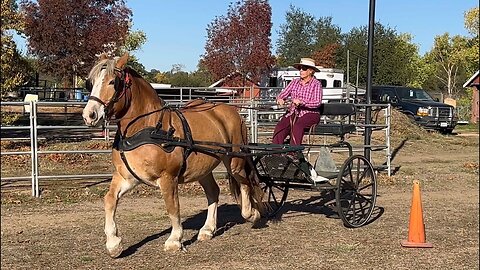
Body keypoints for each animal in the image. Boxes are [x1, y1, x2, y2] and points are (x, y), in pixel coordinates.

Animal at [82, 52, 262, 258]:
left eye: (112, 82)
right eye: (91, 82)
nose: (89, 115)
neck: (147, 128)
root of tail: (232, 111)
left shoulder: (168, 177)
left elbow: (172, 207)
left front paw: (174, 240)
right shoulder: (127, 177)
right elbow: (110, 199)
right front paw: (113, 243)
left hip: (234, 160)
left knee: (245, 182)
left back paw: (251, 213)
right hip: (203, 169)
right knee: (213, 192)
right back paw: (207, 229)